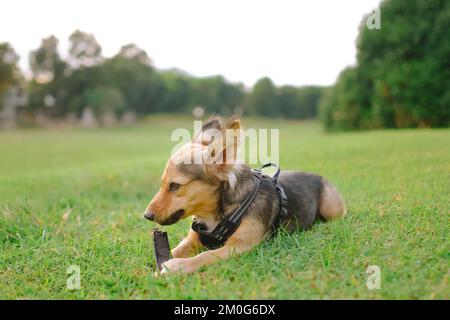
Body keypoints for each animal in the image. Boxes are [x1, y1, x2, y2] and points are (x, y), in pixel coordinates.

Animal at [144, 117, 344, 276]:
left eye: (175, 186)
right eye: (163, 183)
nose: (147, 215)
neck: (215, 214)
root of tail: (318, 175)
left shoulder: (239, 246)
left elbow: (205, 255)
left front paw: (177, 266)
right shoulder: (193, 239)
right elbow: (176, 249)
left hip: (332, 209)